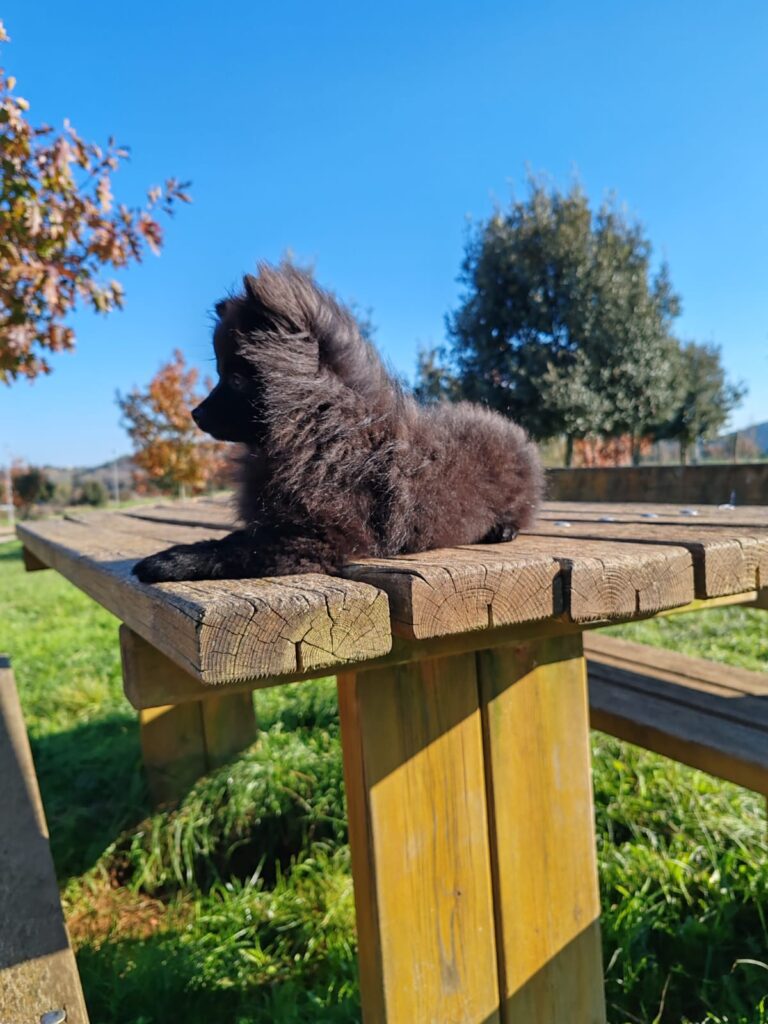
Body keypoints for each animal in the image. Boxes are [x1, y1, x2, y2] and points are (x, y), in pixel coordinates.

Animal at [132, 264, 544, 585]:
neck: (318, 426)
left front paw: (170, 560)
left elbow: (235, 548)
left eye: (233, 378)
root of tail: (514, 432)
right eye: (218, 372)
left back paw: (503, 528)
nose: (195, 414)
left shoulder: (317, 537)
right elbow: (239, 538)